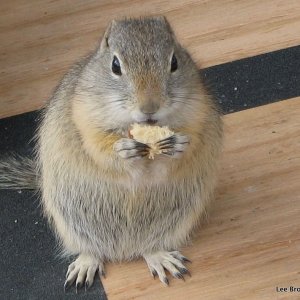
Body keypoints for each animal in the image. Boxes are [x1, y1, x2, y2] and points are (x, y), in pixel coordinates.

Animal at [0, 16, 223, 290]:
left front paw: (178, 145)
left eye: (174, 62)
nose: (149, 107)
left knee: (148, 247)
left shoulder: (198, 113)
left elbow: (187, 144)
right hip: (70, 222)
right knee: (91, 249)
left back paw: (160, 257)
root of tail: (123, 250)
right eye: (115, 65)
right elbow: (98, 146)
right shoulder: (84, 116)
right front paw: (123, 149)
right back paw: (86, 264)